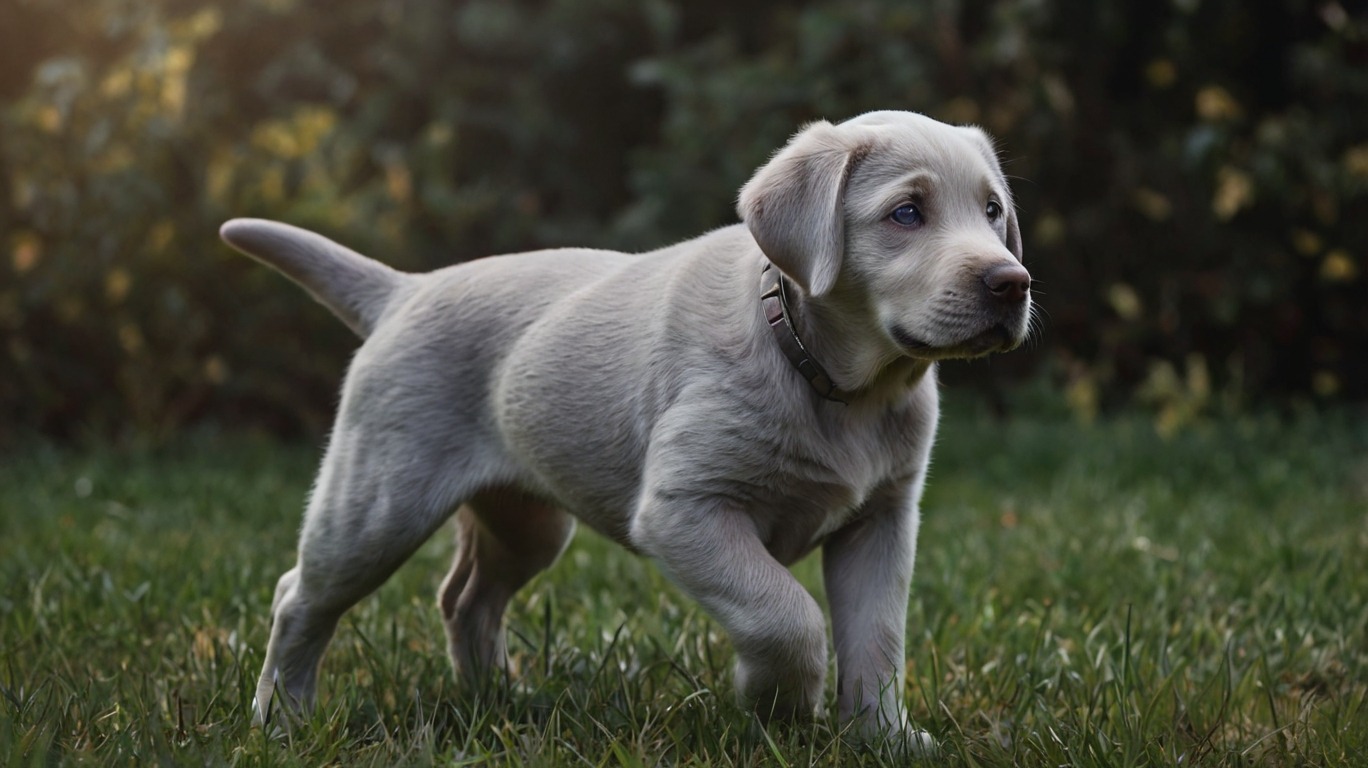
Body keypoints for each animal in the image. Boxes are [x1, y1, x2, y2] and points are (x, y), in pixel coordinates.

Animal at [221, 110, 1034, 744]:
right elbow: (787, 617)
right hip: (377, 503)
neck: (839, 385)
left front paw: (883, 739)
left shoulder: (882, 523)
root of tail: (405, 289)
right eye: (907, 214)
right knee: (299, 596)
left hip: (527, 519)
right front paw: (778, 704)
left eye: (994, 212)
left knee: (467, 598)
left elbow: (877, 641)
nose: (1012, 283)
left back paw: (499, 700)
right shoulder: (686, 510)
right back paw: (282, 718)